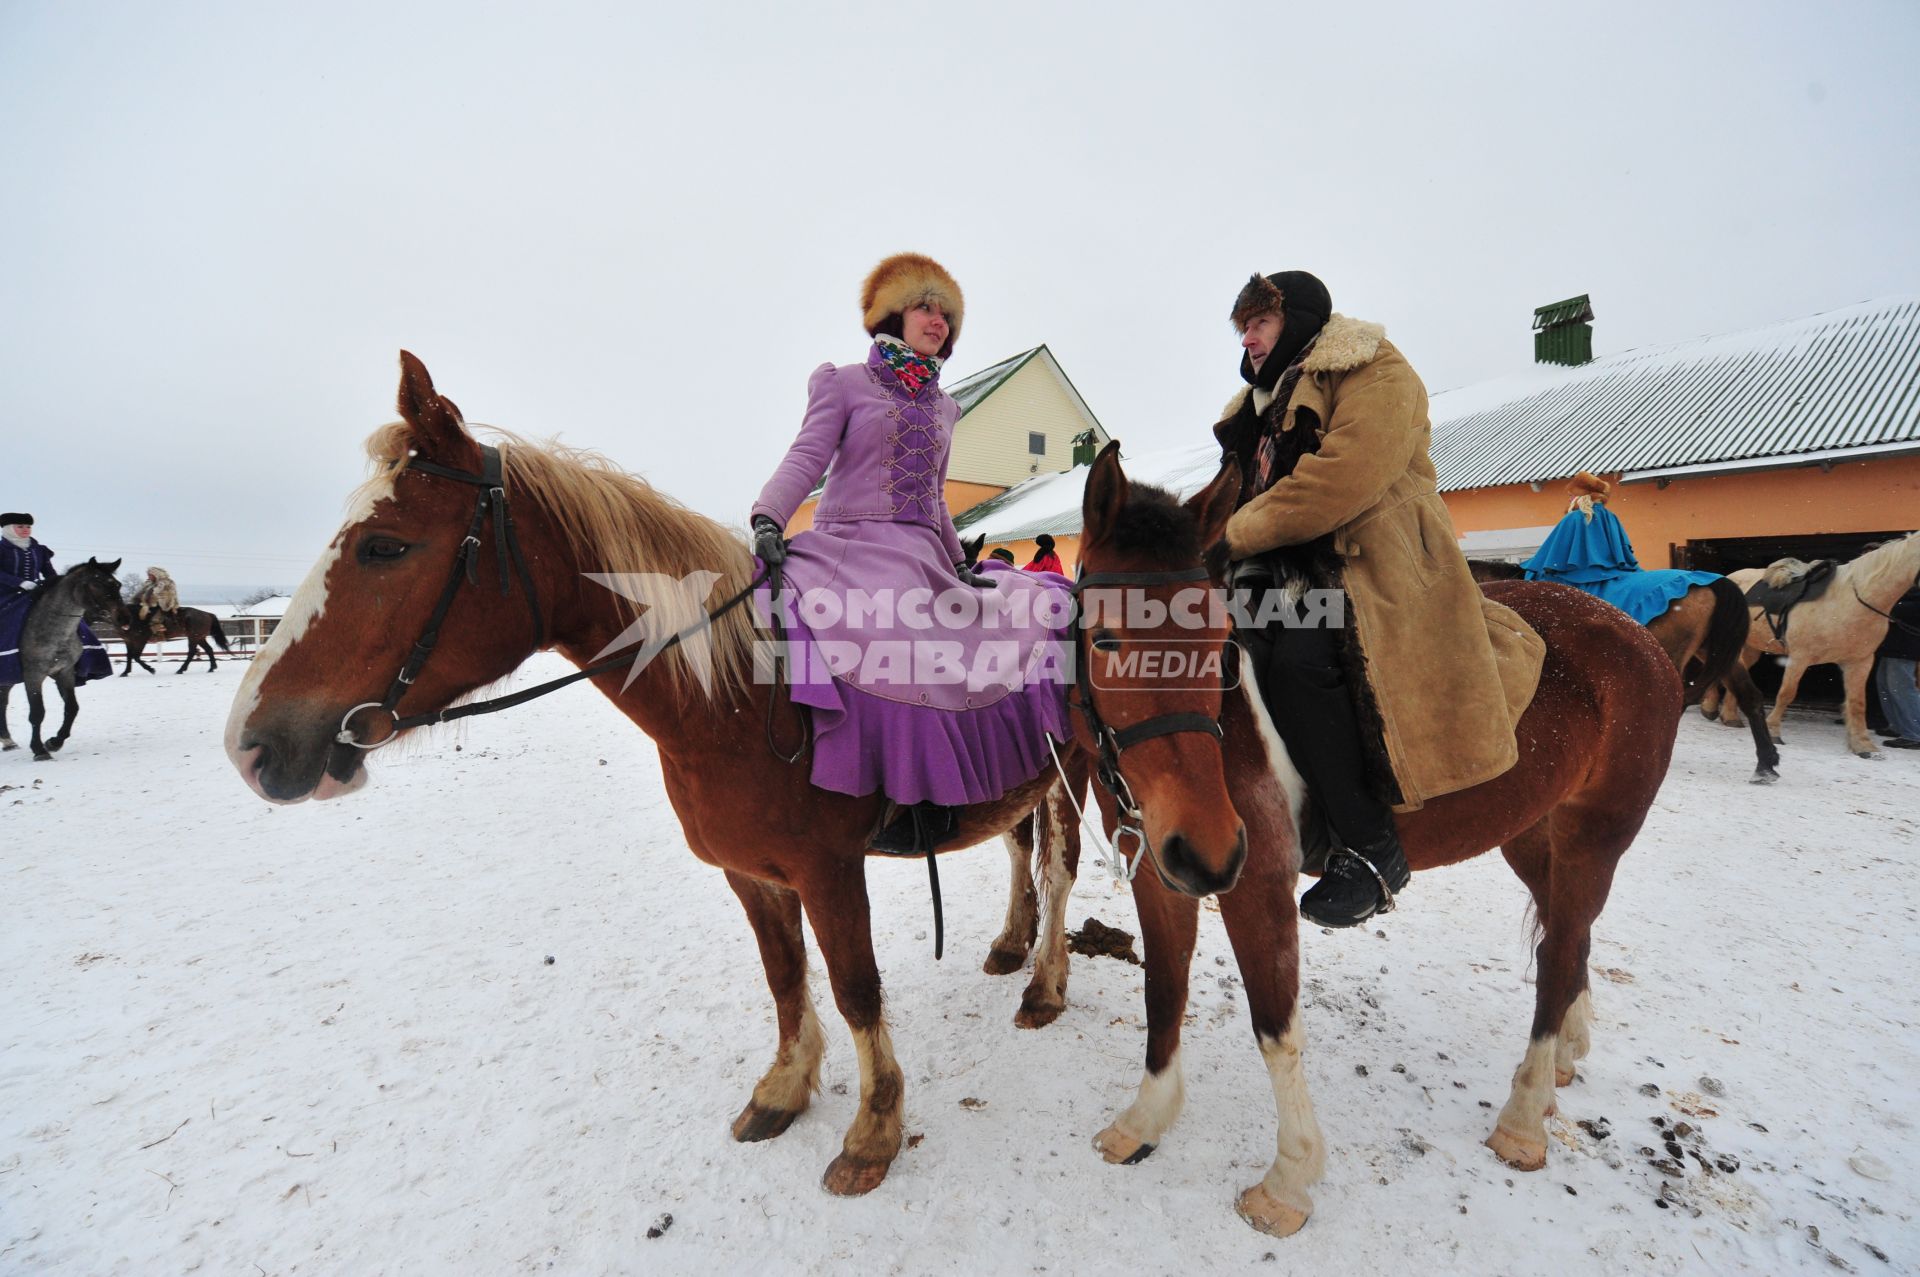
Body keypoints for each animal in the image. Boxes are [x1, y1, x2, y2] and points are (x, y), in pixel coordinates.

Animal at [220, 359, 1244, 1205]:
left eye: (384, 546)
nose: (252, 744)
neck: (738, 697)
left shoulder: (830, 872)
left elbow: (856, 988)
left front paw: (872, 1132)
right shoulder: (750, 873)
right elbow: (785, 977)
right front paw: (785, 1089)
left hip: (1086, 774)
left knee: (1059, 865)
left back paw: (1045, 984)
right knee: (1021, 849)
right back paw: (1008, 944)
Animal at [1704, 530, 1912, 756]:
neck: (1851, 598)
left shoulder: (1860, 662)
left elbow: (1857, 703)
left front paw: (1863, 745)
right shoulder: (1799, 657)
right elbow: (1786, 693)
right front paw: (1774, 731)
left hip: (1750, 646)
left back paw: (1728, 716)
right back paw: (1712, 708)